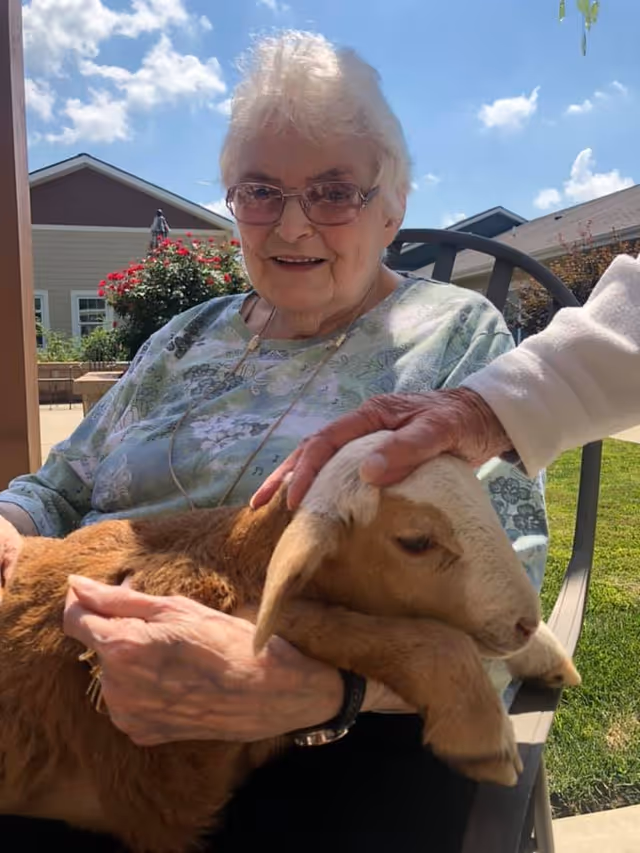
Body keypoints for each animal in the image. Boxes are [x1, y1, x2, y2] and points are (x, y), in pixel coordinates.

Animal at [0, 432, 579, 853]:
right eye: (416, 541)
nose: (524, 621)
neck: (229, 557)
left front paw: (543, 651)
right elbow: (352, 625)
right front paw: (480, 730)